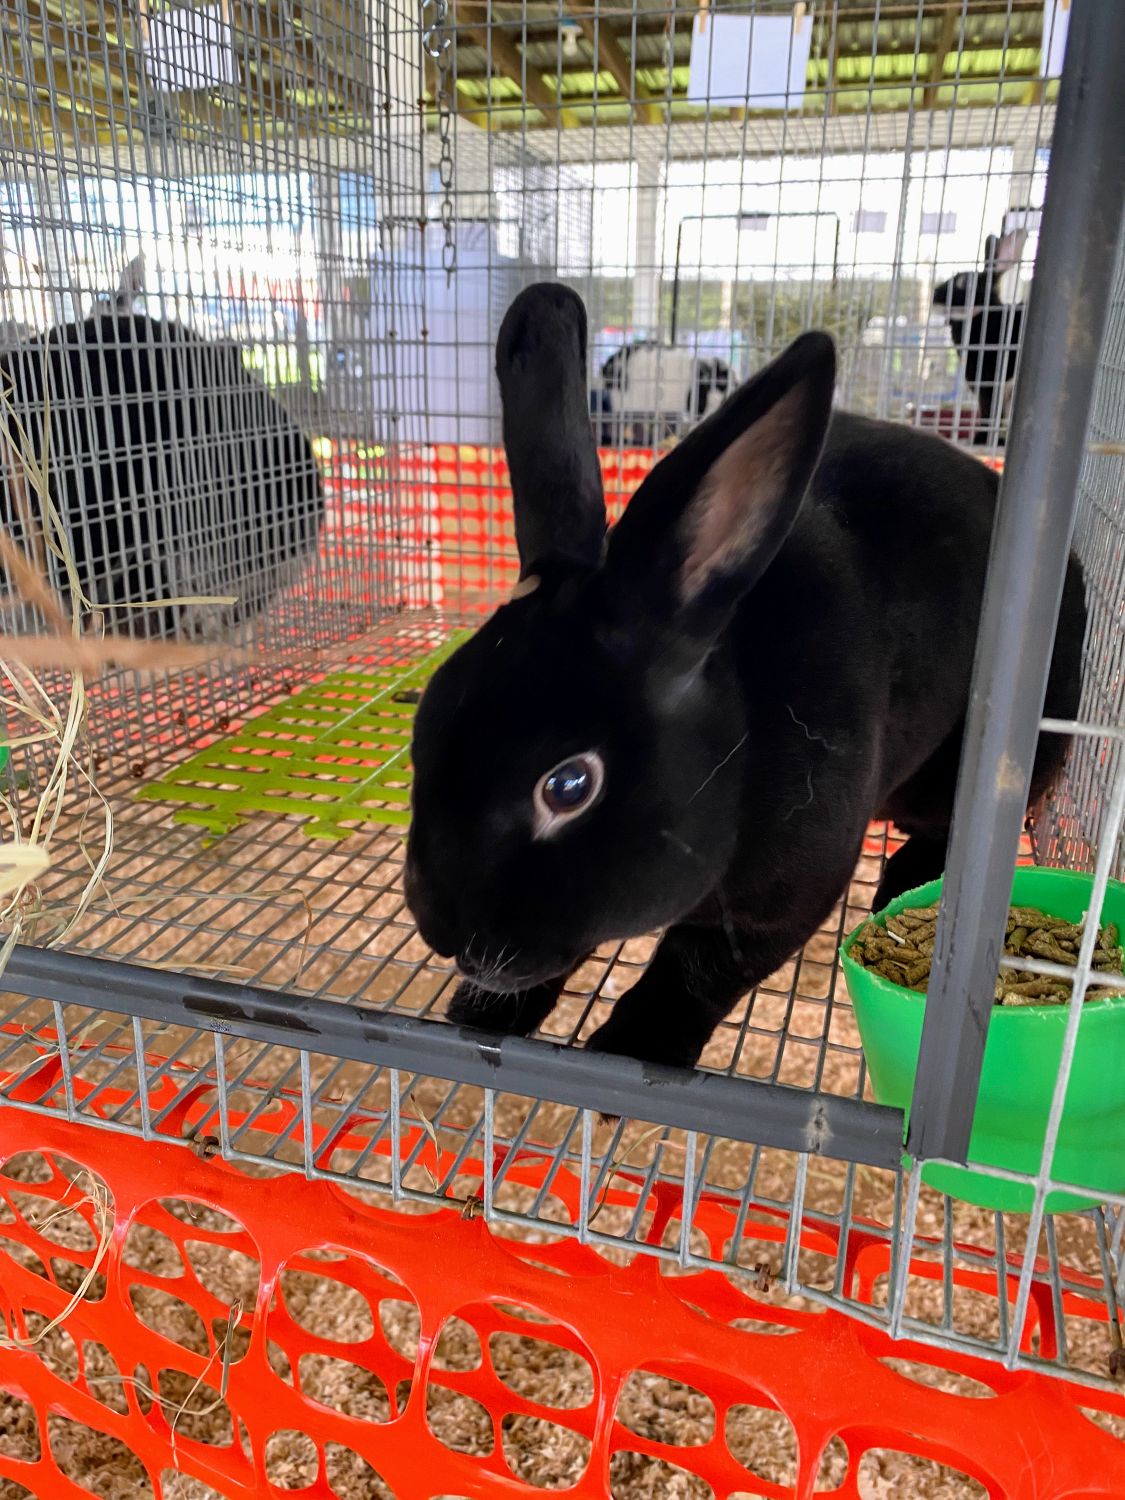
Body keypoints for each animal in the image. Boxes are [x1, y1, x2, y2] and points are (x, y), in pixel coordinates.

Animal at [404, 282, 1086, 1071]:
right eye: (424, 724)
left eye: (568, 786)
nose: (439, 928)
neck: (736, 742)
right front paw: (481, 1012)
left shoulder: (780, 902)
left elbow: (694, 970)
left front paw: (634, 1044)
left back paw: (908, 877)